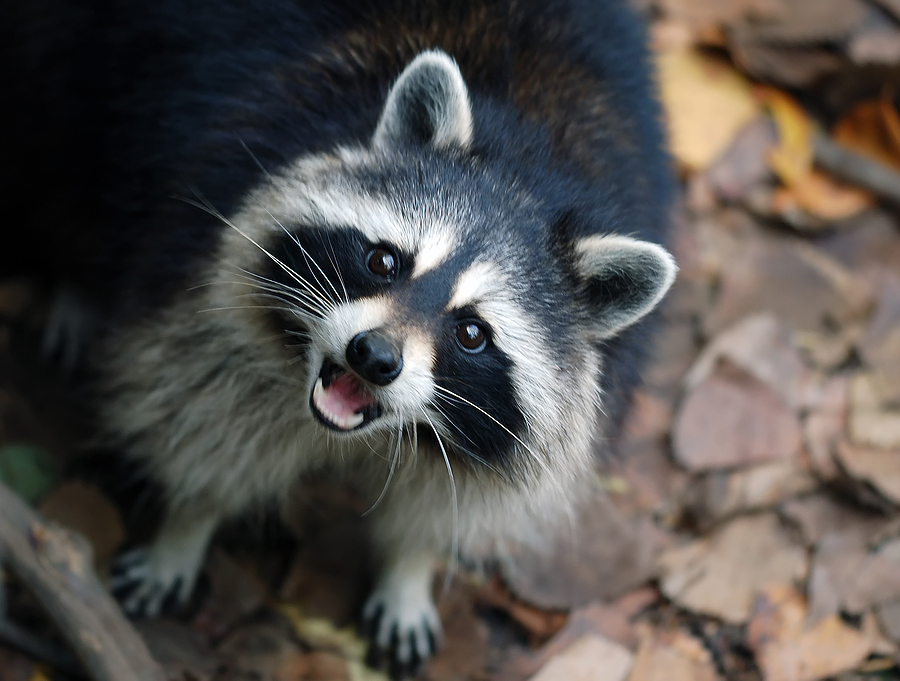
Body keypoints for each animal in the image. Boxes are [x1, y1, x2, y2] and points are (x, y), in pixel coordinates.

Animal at [3, 0, 676, 672]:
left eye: (472, 333)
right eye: (384, 261)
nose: (373, 356)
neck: (525, 166)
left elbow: (455, 496)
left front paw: (410, 567)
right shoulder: (209, 219)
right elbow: (200, 403)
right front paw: (187, 522)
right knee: (61, 146)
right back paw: (72, 279)